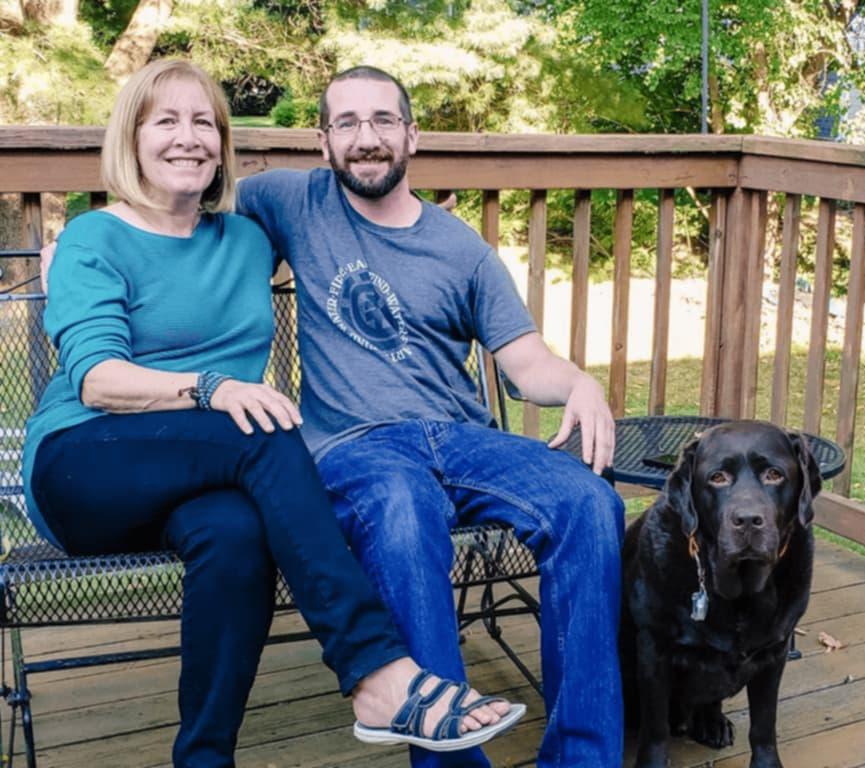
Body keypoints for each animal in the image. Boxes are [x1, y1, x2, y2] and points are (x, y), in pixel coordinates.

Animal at [620, 420, 816, 768]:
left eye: (775, 474)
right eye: (717, 478)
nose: (748, 521)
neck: (740, 595)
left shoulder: (774, 652)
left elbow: (764, 724)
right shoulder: (653, 649)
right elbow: (655, 729)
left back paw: (713, 723)